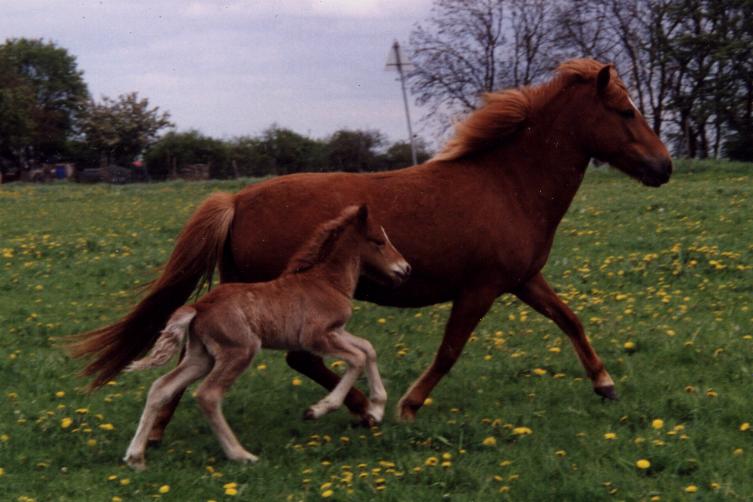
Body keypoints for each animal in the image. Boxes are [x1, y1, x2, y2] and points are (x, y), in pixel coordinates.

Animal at [122, 205, 412, 470]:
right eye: (379, 241)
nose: (405, 268)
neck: (326, 281)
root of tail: (198, 307)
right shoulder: (316, 337)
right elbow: (357, 358)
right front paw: (319, 409)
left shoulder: (336, 331)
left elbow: (368, 348)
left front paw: (376, 409)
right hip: (239, 350)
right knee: (208, 395)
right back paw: (240, 454)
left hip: (201, 356)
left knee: (161, 387)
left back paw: (135, 457)